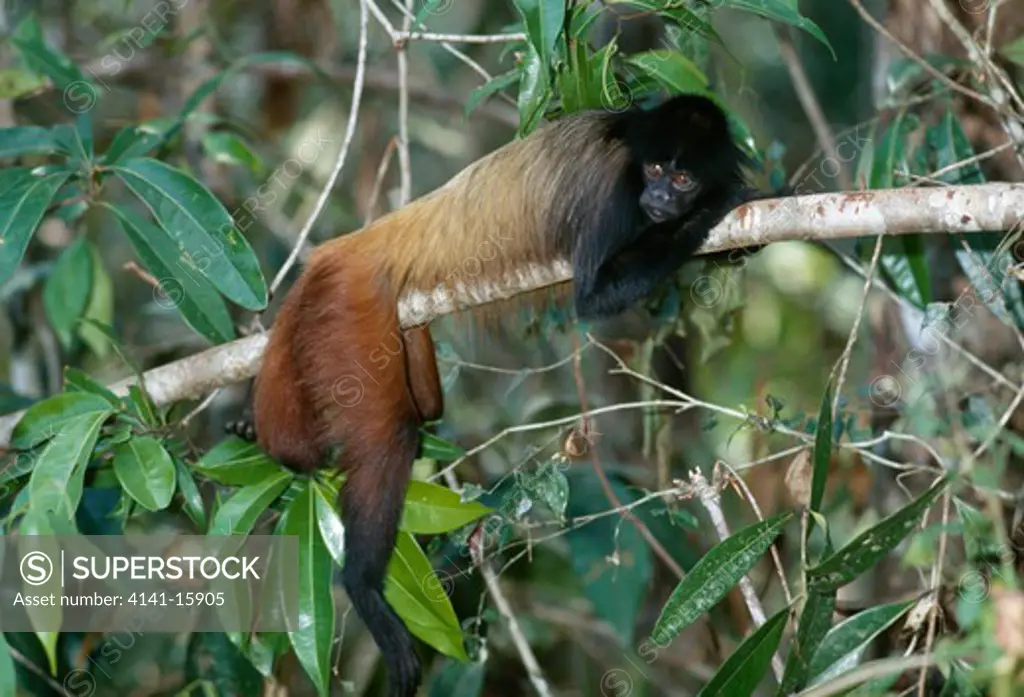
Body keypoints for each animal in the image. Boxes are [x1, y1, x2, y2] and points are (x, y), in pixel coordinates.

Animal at [253, 93, 753, 695]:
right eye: (655, 170)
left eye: (680, 177)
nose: (658, 197)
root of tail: (354, 246)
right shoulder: (614, 195)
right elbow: (593, 294)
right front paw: (721, 204)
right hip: (355, 308)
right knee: (389, 435)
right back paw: (363, 586)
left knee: (423, 408)